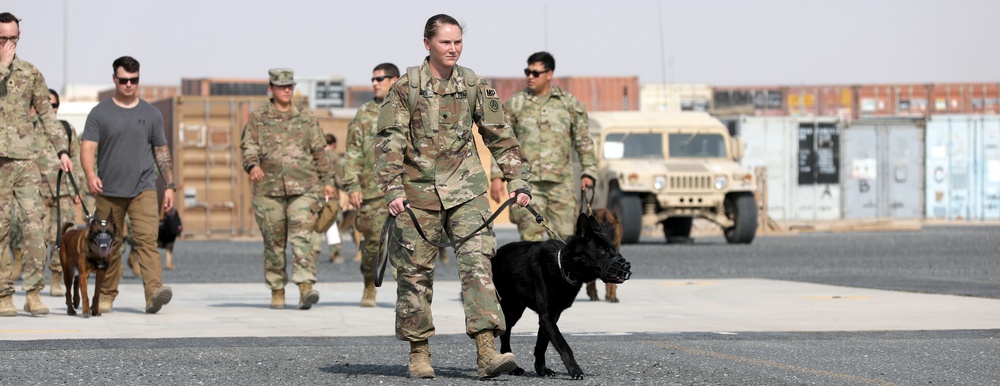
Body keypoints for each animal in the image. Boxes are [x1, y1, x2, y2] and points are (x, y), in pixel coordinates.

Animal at [492, 213, 632, 378]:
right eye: (603, 251)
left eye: (614, 249)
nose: (627, 266)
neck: (564, 267)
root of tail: (494, 256)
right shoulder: (547, 317)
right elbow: (563, 345)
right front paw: (575, 370)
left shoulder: (551, 316)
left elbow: (541, 345)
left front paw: (541, 370)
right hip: (508, 311)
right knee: (504, 333)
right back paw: (512, 367)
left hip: (516, 309)